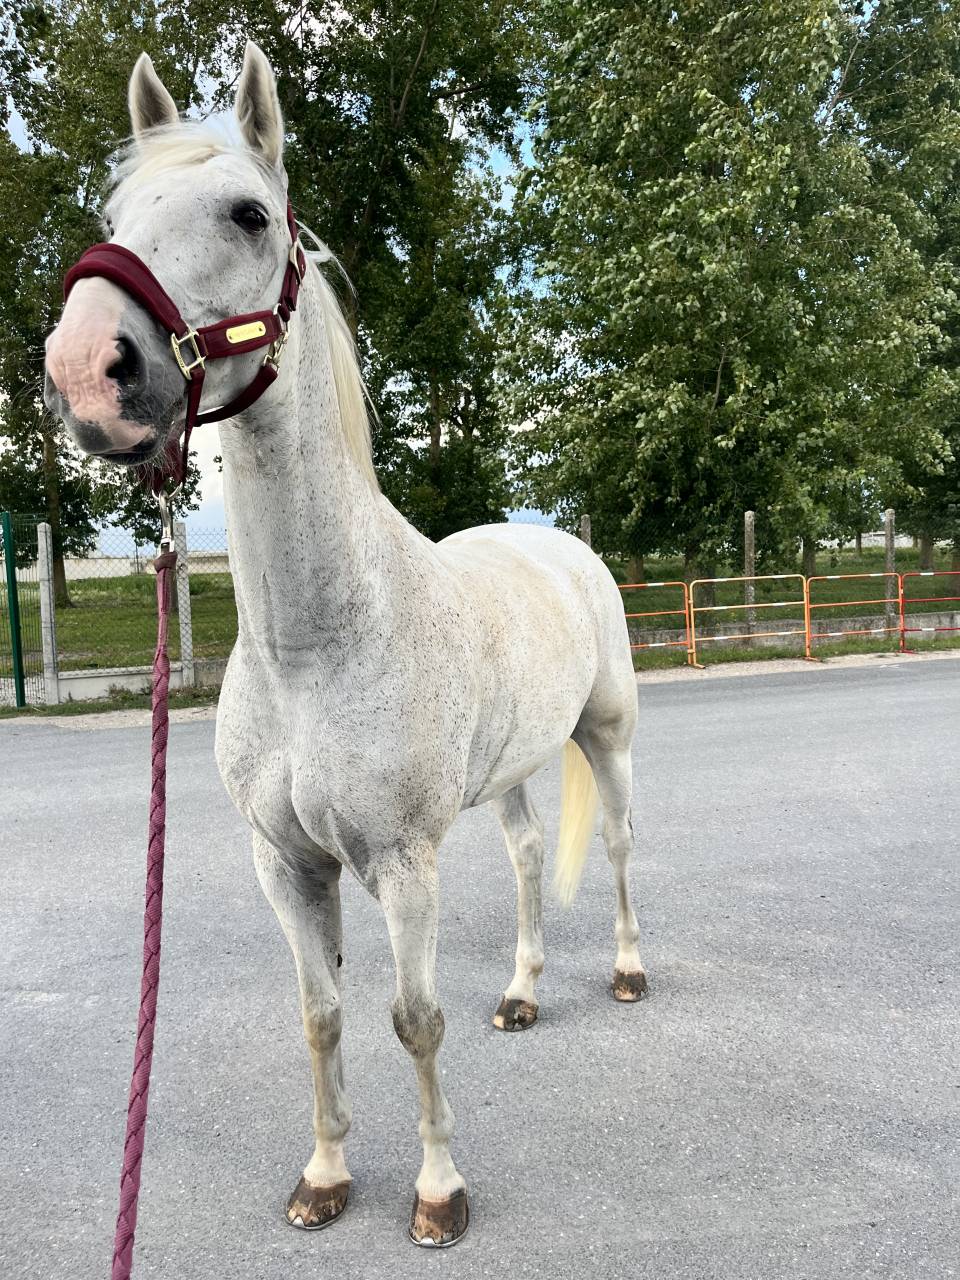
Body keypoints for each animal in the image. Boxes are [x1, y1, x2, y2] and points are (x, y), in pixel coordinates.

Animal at [43, 42, 647, 1249]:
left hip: (603, 737)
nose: (88, 367)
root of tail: (554, 542)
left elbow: (413, 1016)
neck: (316, 648)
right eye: (113, 215)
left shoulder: (401, 863)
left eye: (248, 212)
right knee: (524, 859)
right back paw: (522, 990)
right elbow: (321, 1014)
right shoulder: (286, 863)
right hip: (511, 772)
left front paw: (437, 1191)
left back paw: (628, 968)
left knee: (612, 843)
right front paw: (325, 1173)